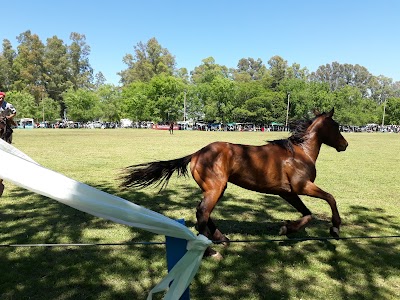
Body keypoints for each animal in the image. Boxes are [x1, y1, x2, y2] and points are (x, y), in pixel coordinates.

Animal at [120, 108, 348, 258]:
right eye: (336, 126)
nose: (345, 144)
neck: (299, 153)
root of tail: (196, 154)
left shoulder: (288, 192)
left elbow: (307, 214)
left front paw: (288, 228)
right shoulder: (302, 186)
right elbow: (330, 198)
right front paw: (335, 228)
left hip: (217, 189)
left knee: (203, 212)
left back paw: (221, 238)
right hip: (216, 188)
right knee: (202, 213)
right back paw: (210, 250)